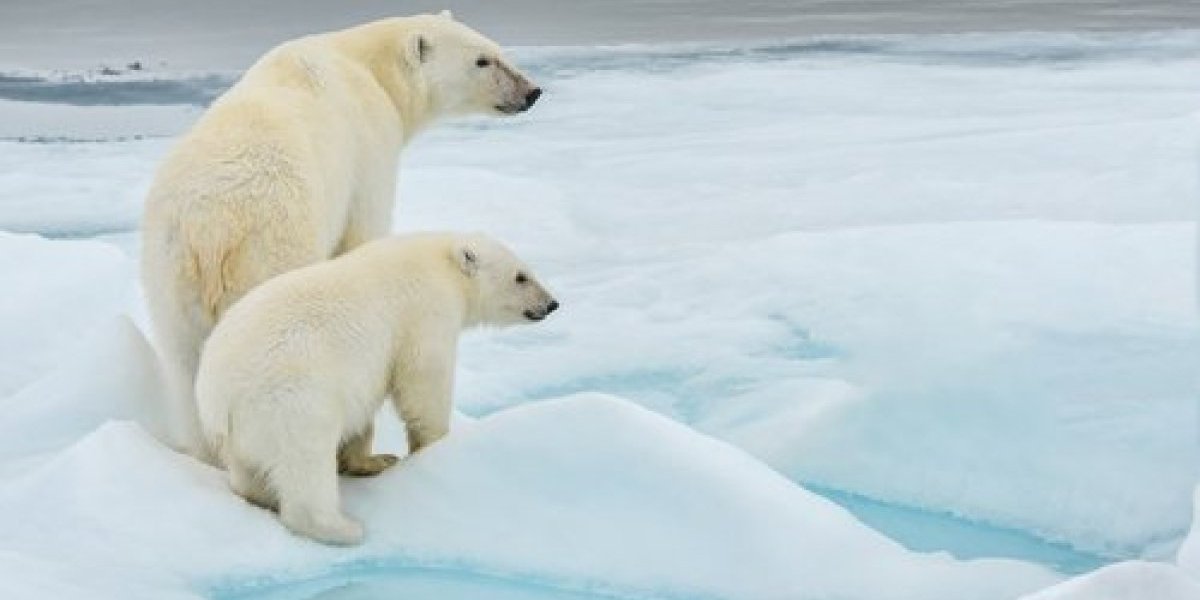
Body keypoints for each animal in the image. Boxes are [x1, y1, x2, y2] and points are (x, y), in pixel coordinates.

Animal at [140, 11, 540, 460]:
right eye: (482, 60)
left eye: (497, 50)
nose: (532, 91)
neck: (363, 62)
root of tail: (210, 229)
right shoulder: (369, 146)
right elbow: (365, 232)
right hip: (270, 249)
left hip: (168, 274)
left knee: (184, 366)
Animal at [195, 230, 556, 544]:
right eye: (521, 276)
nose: (552, 304)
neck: (440, 259)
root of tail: (218, 396)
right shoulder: (426, 311)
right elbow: (423, 381)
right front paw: (432, 446)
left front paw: (373, 460)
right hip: (290, 398)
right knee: (306, 459)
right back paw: (342, 527)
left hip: (239, 433)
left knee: (248, 471)